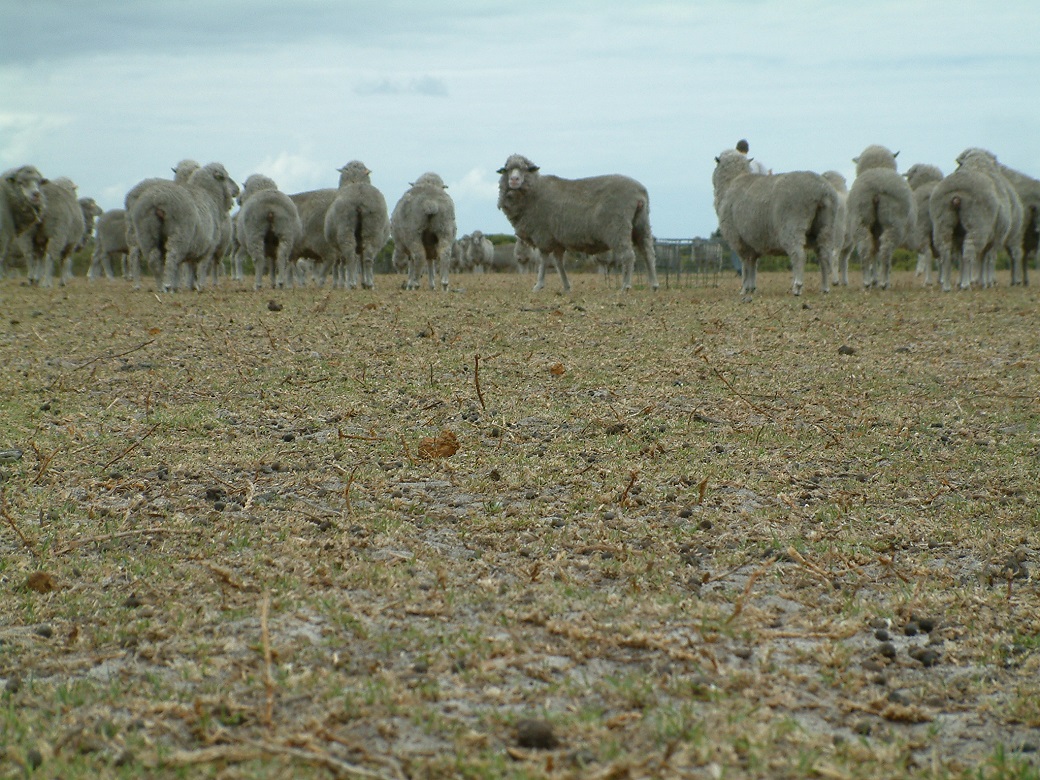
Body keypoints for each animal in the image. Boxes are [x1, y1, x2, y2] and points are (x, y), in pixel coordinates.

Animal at [127, 162, 239, 293]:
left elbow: (191, 266)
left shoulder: (195, 246)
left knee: (151, 259)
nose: (237, 189)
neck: (210, 196)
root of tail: (157, 199)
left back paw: (160, 287)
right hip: (179, 235)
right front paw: (200, 286)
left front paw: (191, 286)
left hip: (145, 234)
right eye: (225, 177)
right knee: (172, 257)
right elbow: (202, 267)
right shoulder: (208, 246)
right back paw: (167, 285)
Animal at [320, 162, 391, 291]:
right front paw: (363, 282)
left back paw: (351, 283)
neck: (356, 180)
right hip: (373, 228)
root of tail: (359, 194)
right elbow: (361, 260)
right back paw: (369, 284)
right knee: (368, 256)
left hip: (345, 227)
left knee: (350, 256)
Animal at [497, 154, 657, 293]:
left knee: (628, 255)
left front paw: (538, 285)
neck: (534, 191)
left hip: (618, 227)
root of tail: (640, 192)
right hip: (641, 223)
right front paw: (566, 287)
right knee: (648, 253)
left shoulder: (543, 235)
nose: (514, 180)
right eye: (507, 169)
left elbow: (544, 261)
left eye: (525, 169)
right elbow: (558, 263)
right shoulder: (557, 240)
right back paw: (653, 285)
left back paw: (625, 286)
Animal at [711, 147, 840, 295]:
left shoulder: (739, 240)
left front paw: (744, 289)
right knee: (824, 255)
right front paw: (751, 288)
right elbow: (753, 264)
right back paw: (824, 288)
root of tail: (822, 190)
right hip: (826, 226)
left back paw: (797, 286)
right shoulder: (753, 242)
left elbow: (745, 265)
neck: (731, 182)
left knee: (799, 255)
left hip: (792, 226)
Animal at [844, 144, 919, 291]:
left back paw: (867, 282)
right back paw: (885, 283)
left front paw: (874, 280)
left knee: (865, 248)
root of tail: (876, 189)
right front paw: (879, 280)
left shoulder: (875, 230)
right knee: (886, 251)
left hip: (860, 220)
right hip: (893, 223)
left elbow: (874, 252)